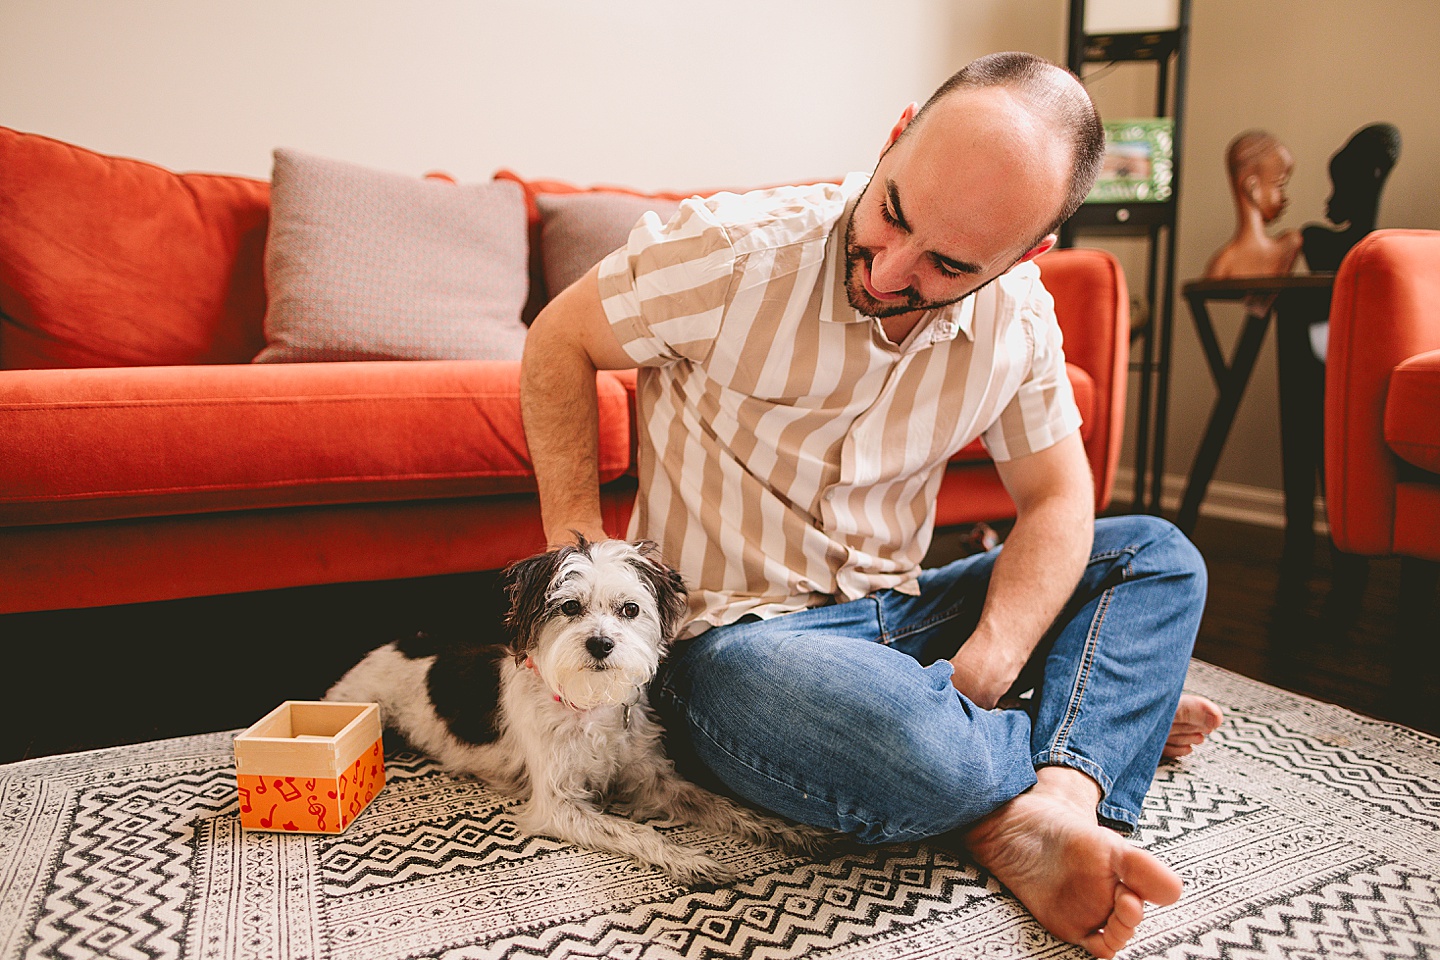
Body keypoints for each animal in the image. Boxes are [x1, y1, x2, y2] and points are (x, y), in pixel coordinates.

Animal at [325, 538, 823, 880]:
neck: (590, 705)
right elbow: (638, 831)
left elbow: (720, 803)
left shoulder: (654, 780)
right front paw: (689, 859)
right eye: (569, 606)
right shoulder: (558, 805)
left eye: (630, 609)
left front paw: (789, 831)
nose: (601, 643)